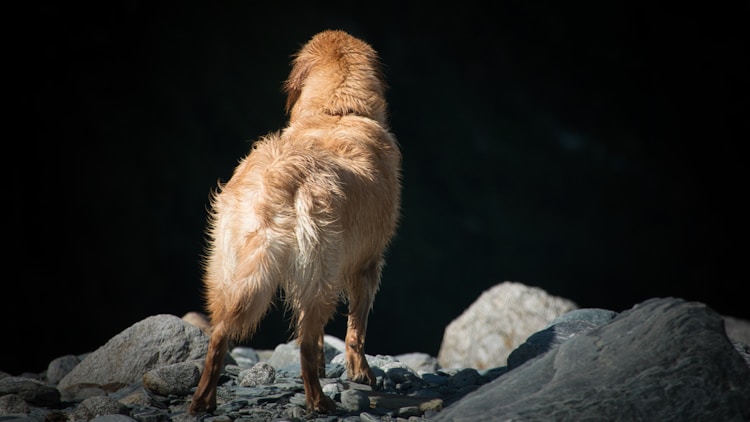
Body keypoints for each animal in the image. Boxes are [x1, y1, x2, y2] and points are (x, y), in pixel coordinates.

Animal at [189, 30, 400, 416]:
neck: (335, 112)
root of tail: (275, 184)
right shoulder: (367, 265)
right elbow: (356, 329)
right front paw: (361, 374)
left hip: (229, 270)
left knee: (221, 333)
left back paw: (203, 400)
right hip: (322, 277)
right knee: (304, 342)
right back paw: (319, 402)